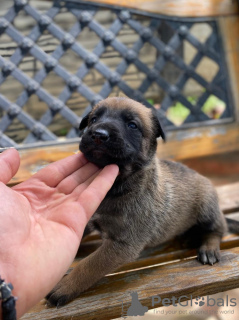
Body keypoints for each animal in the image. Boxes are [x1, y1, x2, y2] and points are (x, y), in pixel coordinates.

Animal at [46, 96, 226, 306]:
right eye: (94, 119)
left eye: (132, 125)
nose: (98, 134)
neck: (117, 186)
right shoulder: (90, 221)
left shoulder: (123, 245)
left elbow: (90, 264)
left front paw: (66, 285)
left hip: (206, 207)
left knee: (217, 229)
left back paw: (209, 248)